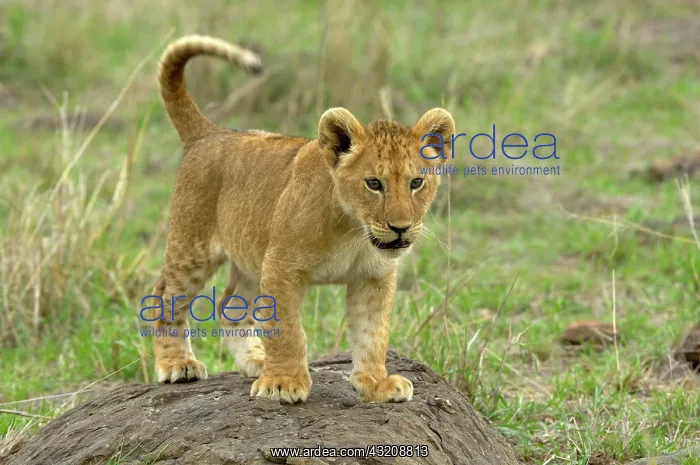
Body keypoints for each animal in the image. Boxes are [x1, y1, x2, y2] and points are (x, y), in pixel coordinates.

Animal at [149, 35, 455, 404]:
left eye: (416, 183)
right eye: (373, 183)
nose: (400, 228)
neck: (354, 230)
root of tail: (210, 133)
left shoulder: (374, 277)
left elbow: (372, 333)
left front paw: (376, 384)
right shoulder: (281, 268)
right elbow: (288, 331)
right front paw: (283, 383)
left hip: (251, 257)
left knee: (229, 306)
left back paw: (256, 360)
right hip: (193, 249)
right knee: (165, 296)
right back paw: (178, 364)